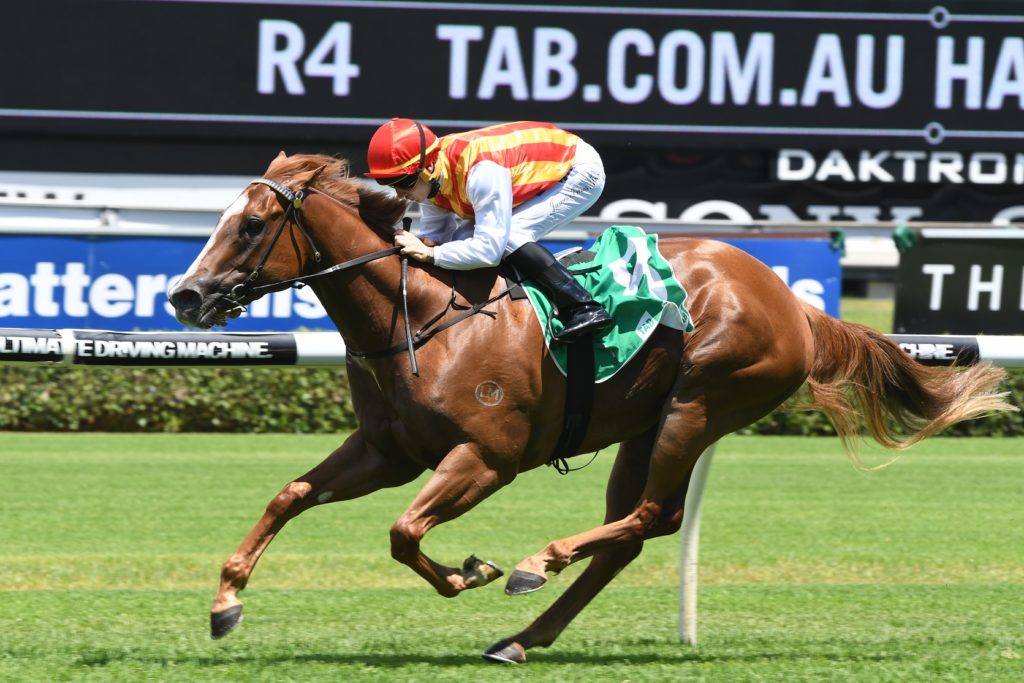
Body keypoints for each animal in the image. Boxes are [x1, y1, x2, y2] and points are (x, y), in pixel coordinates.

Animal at [168, 152, 1013, 664]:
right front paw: (225, 599)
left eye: (251, 224)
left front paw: (474, 569)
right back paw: (522, 635)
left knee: (646, 516)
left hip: (698, 404)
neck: (424, 316)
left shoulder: (487, 458)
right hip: (646, 424)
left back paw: (536, 565)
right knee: (637, 531)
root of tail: (794, 305)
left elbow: (404, 532)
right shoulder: (388, 450)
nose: (187, 296)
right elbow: (291, 495)